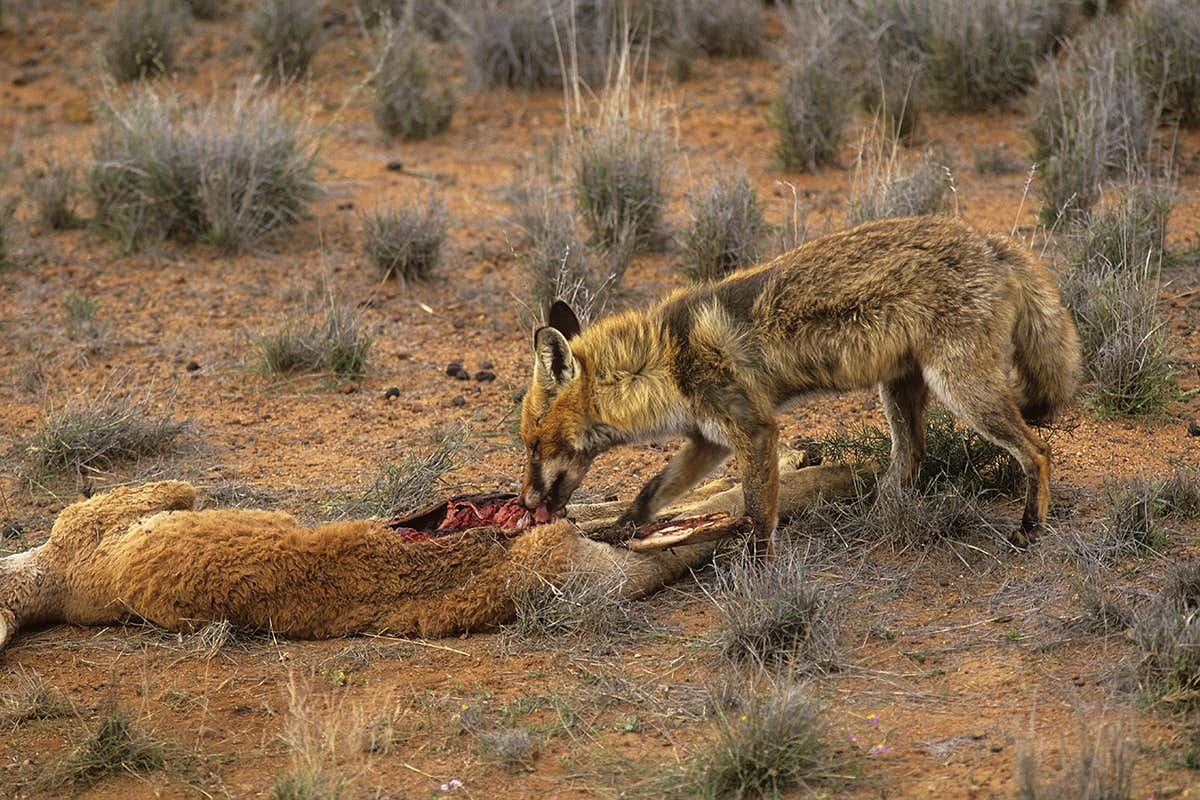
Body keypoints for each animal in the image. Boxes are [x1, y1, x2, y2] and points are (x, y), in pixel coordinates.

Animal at [518, 216, 1082, 551]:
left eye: (531, 445)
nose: (524, 503)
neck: (663, 359)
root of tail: (990, 240)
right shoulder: (709, 439)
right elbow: (651, 490)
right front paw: (621, 528)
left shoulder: (755, 430)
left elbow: (755, 513)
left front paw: (759, 568)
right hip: (900, 390)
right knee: (912, 459)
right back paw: (877, 519)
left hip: (962, 389)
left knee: (1038, 451)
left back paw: (1031, 525)